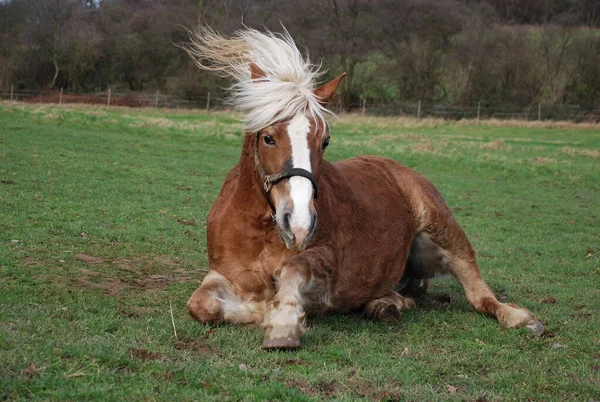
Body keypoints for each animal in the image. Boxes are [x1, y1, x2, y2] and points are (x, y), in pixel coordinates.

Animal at [183, 26, 544, 350]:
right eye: (268, 138)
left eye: (324, 141)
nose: (298, 224)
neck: (258, 230)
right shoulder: (222, 273)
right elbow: (201, 304)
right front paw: (262, 310)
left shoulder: (327, 264)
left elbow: (294, 268)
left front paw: (284, 323)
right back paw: (385, 304)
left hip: (445, 234)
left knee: (479, 294)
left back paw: (518, 317)